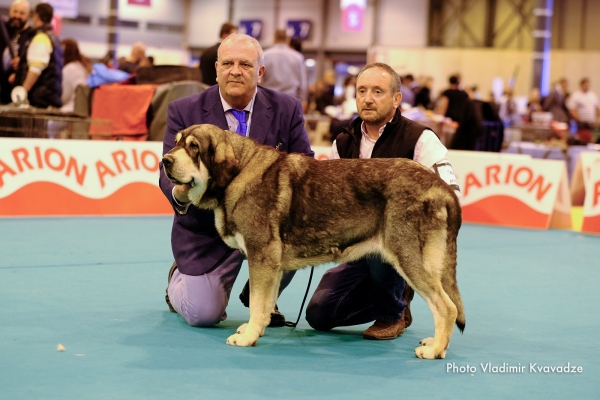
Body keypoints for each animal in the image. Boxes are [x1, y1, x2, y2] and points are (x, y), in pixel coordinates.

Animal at [162, 124, 466, 360]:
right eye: (176, 142)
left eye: (194, 147)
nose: (165, 160)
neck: (238, 172)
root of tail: (440, 185)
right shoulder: (272, 266)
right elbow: (264, 304)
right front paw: (256, 330)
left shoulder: (261, 258)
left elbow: (258, 303)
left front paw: (248, 337)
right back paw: (435, 343)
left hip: (407, 256)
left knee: (446, 307)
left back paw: (435, 350)